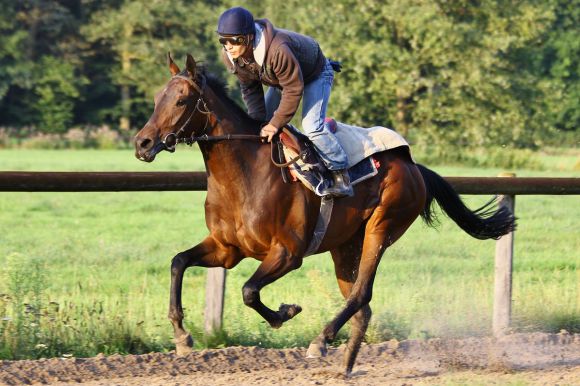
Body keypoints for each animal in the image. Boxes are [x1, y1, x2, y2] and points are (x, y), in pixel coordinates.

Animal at [134, 54, 516, 374]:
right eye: (156, 99)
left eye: (181, 100)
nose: (142, 143)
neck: (245, 174)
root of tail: (413, 166)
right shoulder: (227, 249)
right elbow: (179, 262)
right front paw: (182, 336)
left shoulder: (288, 253)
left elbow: (248, 290)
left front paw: (284, 313)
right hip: (344, 247)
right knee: (362, 307)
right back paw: (344, 368)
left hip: (382, 228)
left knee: (362, 294)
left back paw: (321, 341)